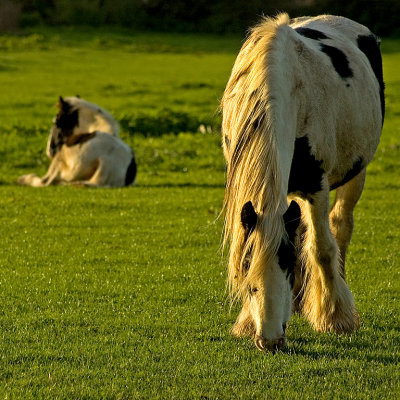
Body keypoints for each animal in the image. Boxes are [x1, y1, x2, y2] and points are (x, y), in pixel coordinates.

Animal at [222, 13, 384, 350]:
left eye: (284, 265)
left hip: (355, 173)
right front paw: (247, 321)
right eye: (248, 269)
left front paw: (335, 317)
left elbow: (322, 249)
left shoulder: (316, 186)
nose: (270, 341)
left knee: (340, 226)